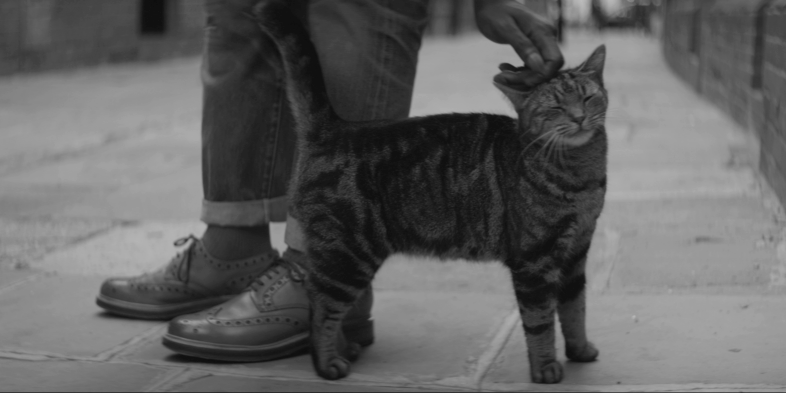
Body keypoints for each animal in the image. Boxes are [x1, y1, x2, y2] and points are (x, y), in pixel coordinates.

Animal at [258, 0, 608, 382]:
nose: (578, 118)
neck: (581, 173)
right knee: (320, 304)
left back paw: (344, 348)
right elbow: (541, 321)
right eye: (556, 107)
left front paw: (580, 350)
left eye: (589, 98)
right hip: (348, 254)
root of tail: (336, 128)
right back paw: (327, 363)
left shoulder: (577, 251)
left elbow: (576, 309)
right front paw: (545, 368)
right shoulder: (535, 260)